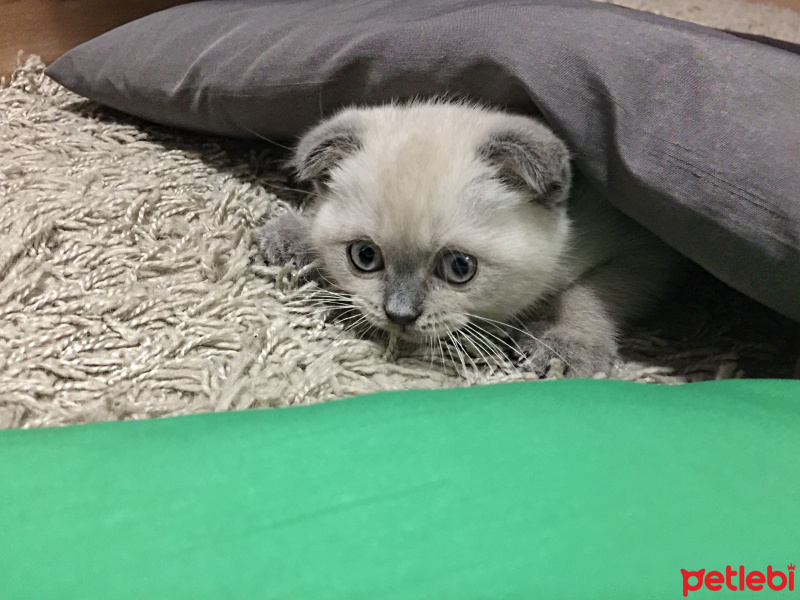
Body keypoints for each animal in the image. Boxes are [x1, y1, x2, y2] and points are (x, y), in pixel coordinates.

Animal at [256, 101, 680, 378]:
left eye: (459, 267)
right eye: (364, 256)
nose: (399, 315)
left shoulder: (646, 252)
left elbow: (588, 293)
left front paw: (564, 346)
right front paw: (293, 236)